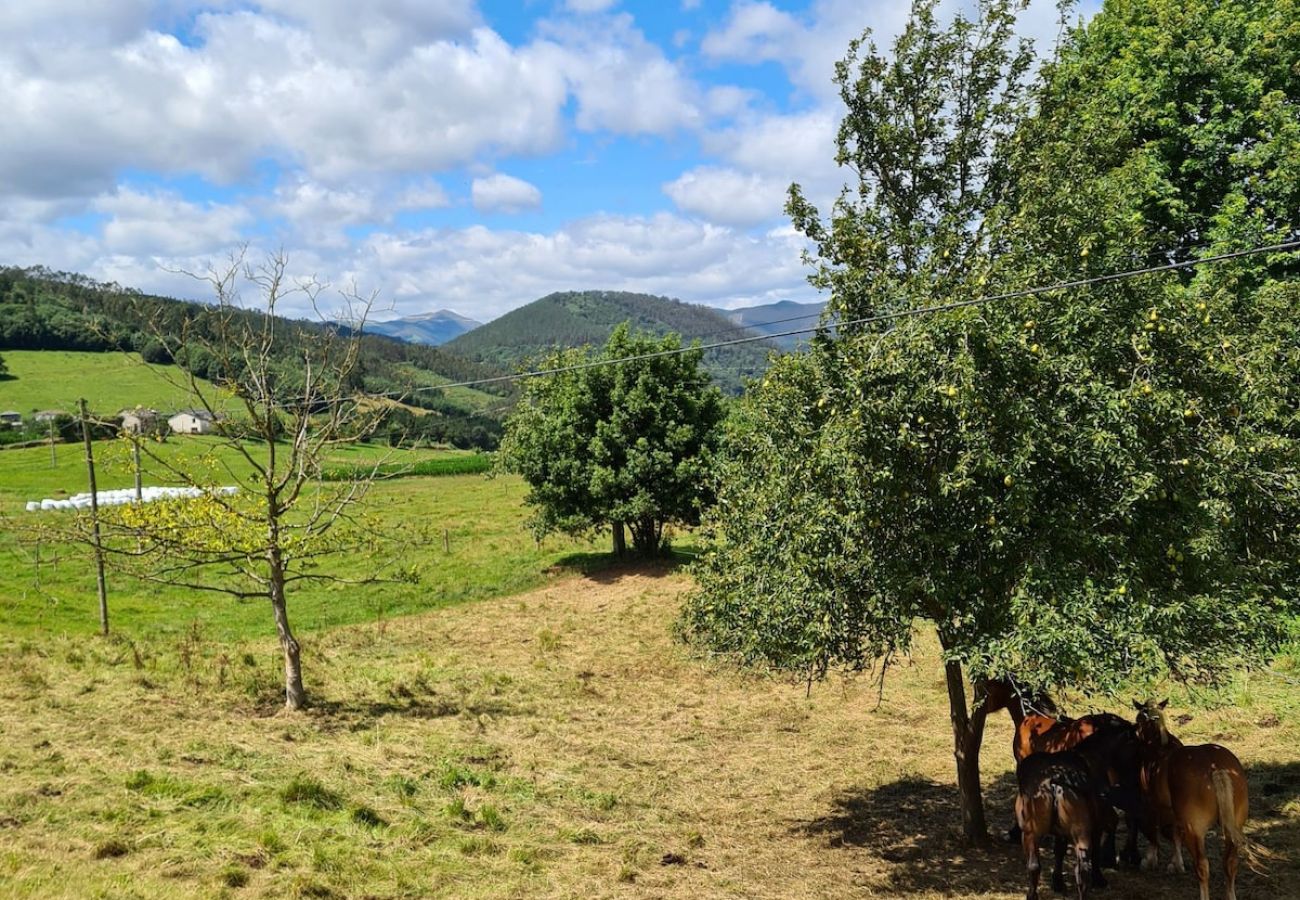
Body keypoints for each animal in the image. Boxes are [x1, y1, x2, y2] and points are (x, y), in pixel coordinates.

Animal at [1013, 743, 1107, 900]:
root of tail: (1054, 781)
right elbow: (1059, 851)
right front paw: (1058, 882)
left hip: (1031, 832)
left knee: (1033, 865)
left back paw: (1031, 895)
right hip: (1081, 832)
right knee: (1082, 869)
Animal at [1133, 702, 1253, 900]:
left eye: (1138, 719)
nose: (1134, 731)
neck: (1159, 746)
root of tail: (1216, 768)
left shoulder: (1152, 803)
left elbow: (1155, 831)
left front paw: (1152, 859)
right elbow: (1175, 833)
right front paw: (1176, 864)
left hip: (1195, 830)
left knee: (1202, 865)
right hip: (1234, 824)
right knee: (1230, 862)